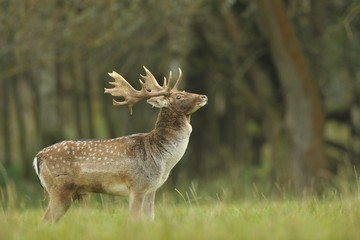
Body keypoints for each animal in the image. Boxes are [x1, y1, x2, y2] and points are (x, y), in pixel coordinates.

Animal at [34, 66, 208, 223]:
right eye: (179, 96)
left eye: (185, 91)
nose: (203, 96)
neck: (161, 160)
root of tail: (38, 157)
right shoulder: (138, 185)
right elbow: (135, 219)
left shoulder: (151, 189)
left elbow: (150, 219)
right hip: (59, 188)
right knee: (44, 220)